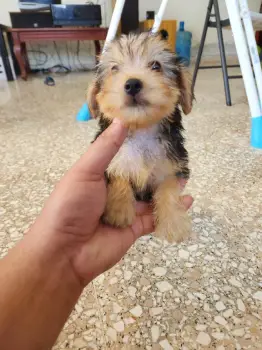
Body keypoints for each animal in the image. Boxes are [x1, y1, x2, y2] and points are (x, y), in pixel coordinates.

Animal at [88, 32, 192, 242]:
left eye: (156, 66)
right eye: (114, 68)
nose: (133, 83)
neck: (142, 129)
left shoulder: (173, 166)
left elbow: (169, 188)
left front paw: (173, 224)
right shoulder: (113, 161)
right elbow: (119, 175)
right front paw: (119, 212)